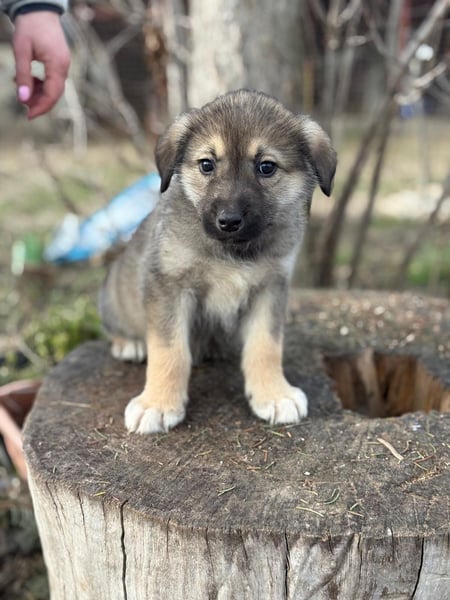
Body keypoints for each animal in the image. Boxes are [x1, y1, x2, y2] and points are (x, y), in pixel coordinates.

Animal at [99, 89, 336, 434]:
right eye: (207, 164)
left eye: (266, 167)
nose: (229, 221)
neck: (231, 251)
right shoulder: (169, 286)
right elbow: (169, 351)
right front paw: (158, 403)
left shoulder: (271, 288)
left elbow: (266, 346)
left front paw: (273, 394)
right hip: (113, 296)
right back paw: (130, 344)